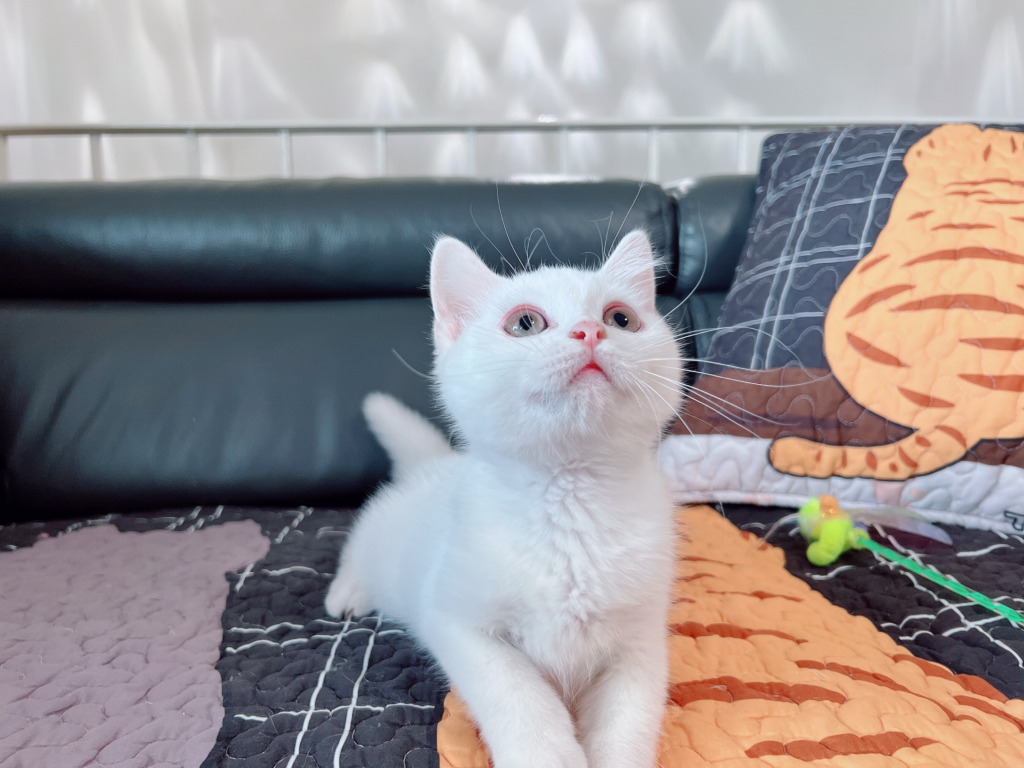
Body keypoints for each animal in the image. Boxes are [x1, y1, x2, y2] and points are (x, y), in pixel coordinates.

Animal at [325, 231, 679, 768]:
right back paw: (347, 593)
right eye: (525, 323)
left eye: (621, 318)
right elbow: (523, 701)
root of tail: (432, 462)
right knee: (357, 546)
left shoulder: (639, 641)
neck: (570, 498)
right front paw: (549, 756)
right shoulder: (459, 624)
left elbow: (627, 725)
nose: (590, 332)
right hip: (381, 538)